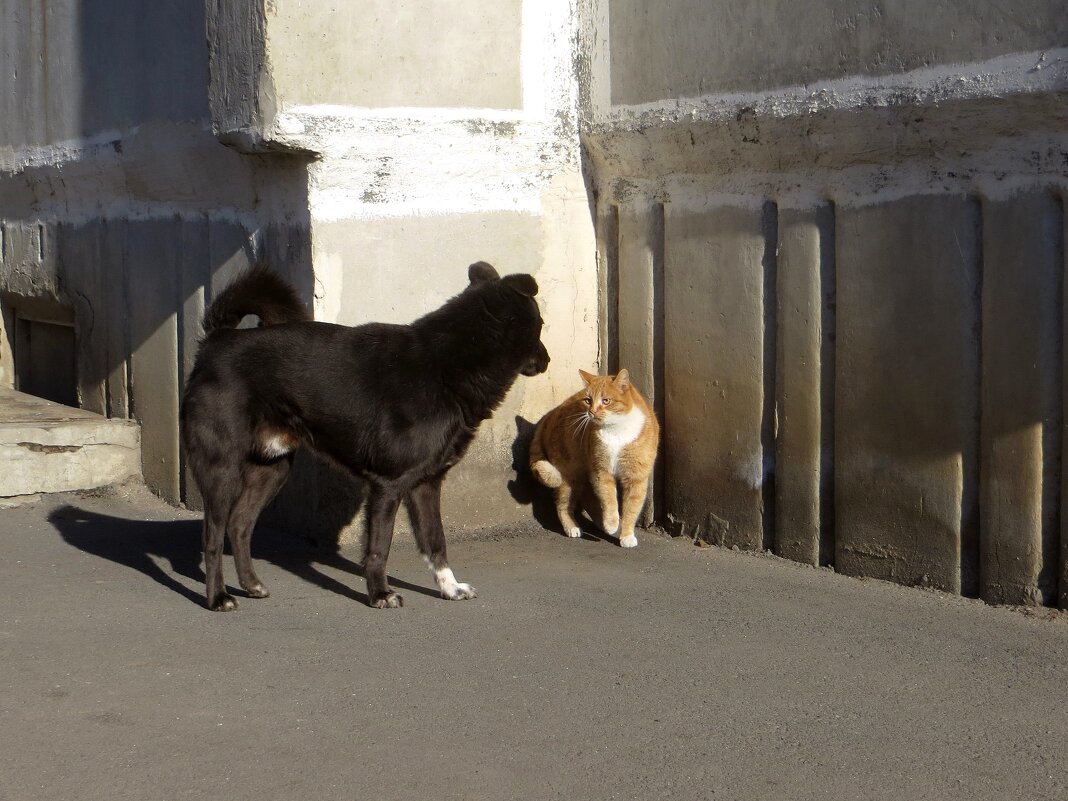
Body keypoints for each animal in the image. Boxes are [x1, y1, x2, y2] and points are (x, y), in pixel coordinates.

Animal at [181, 260, 551, 610]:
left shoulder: (425, 484)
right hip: (221, 470)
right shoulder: (388, 485)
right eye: (541, 325)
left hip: (271, 468)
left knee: (239, 525)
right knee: (212, 538)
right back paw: (218, 598)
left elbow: (436, 541)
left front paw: (450, 588)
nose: (547, 360)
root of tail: (216, 341)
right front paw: (380, 594)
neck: (449, 363)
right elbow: (378, 548)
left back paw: (251, 586)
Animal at [527, 373, 653, 551]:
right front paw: (612, 523)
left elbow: (631, 508)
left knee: (587, 497)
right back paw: (573, 527)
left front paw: (626, 535)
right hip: (570, 475)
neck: (616, 429)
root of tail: (549, 415)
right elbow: (609, 499)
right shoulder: (602, 471)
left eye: (606, 400)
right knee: (563, 504)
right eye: (588, 400)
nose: (592, 412)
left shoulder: (636, 478)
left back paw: (601, 524)